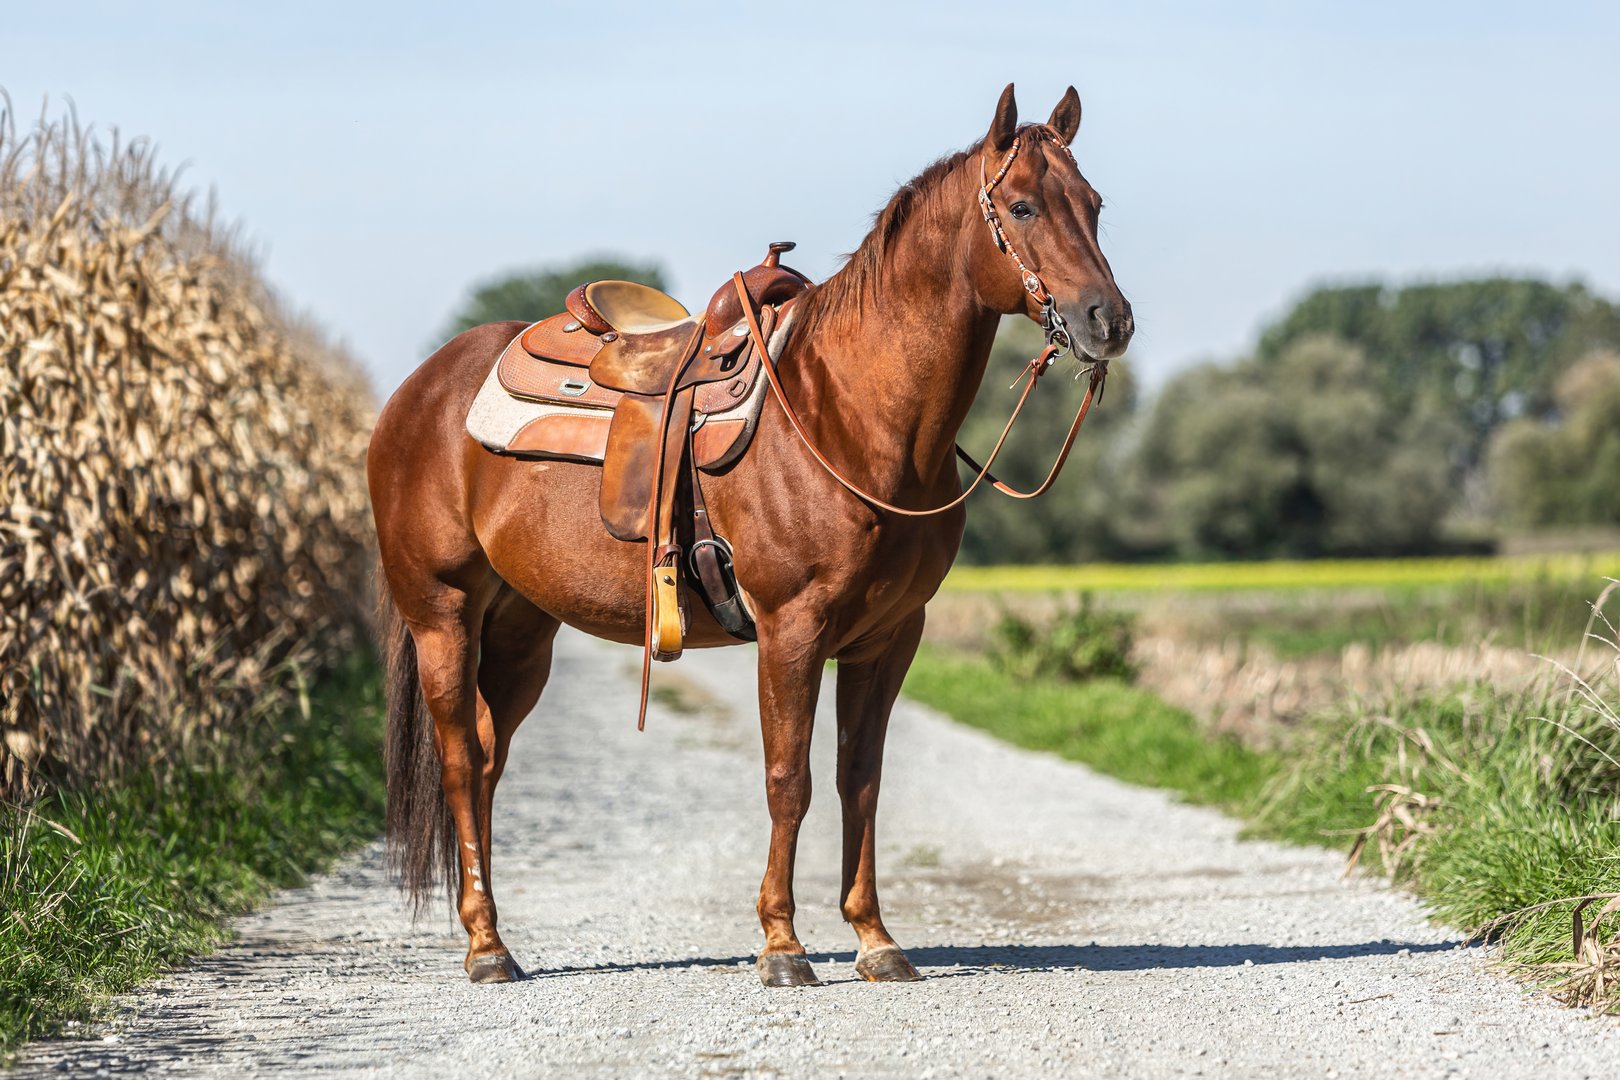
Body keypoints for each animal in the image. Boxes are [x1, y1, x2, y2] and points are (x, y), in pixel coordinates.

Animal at [368, 83, 1134, 987]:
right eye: (1020, 206)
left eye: (1094, 204)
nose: (1109, 320)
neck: (848, 415)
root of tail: (419, 389)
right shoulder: (791, 629)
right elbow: (787, 778)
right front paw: (782, 945)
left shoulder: (888, 638)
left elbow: (859, 780)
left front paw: (875, 939)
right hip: (442, 616)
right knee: (458, 761)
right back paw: (486, 947)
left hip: (521, 629)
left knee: (488, 759)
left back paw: (493, 937)